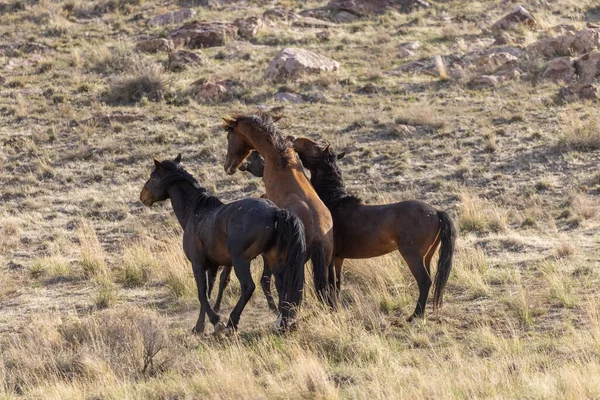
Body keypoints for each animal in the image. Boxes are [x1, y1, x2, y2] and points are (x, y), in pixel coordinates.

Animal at [139, 155, 304, 332]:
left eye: (153, 176)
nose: (142, 196)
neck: (196, 212)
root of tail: (276, 212)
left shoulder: (197, 264)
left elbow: (202, 294)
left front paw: (216, 322)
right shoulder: (212, 266)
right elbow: (208, 292)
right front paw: (199, 326)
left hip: (241, 261)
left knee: (248, 287)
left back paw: (232, 322)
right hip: (274, 260)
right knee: (282, 287)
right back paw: (282, 322)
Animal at [237, 139, 458, 320]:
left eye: (316, 147)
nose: (295, 140)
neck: (333, 203)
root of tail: (436, 212)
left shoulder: (330, 257)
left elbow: (331, 284)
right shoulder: (338, 258)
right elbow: (337, 284)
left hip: (412, 256)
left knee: (424, 281)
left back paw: (415, 315)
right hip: (427, 256)